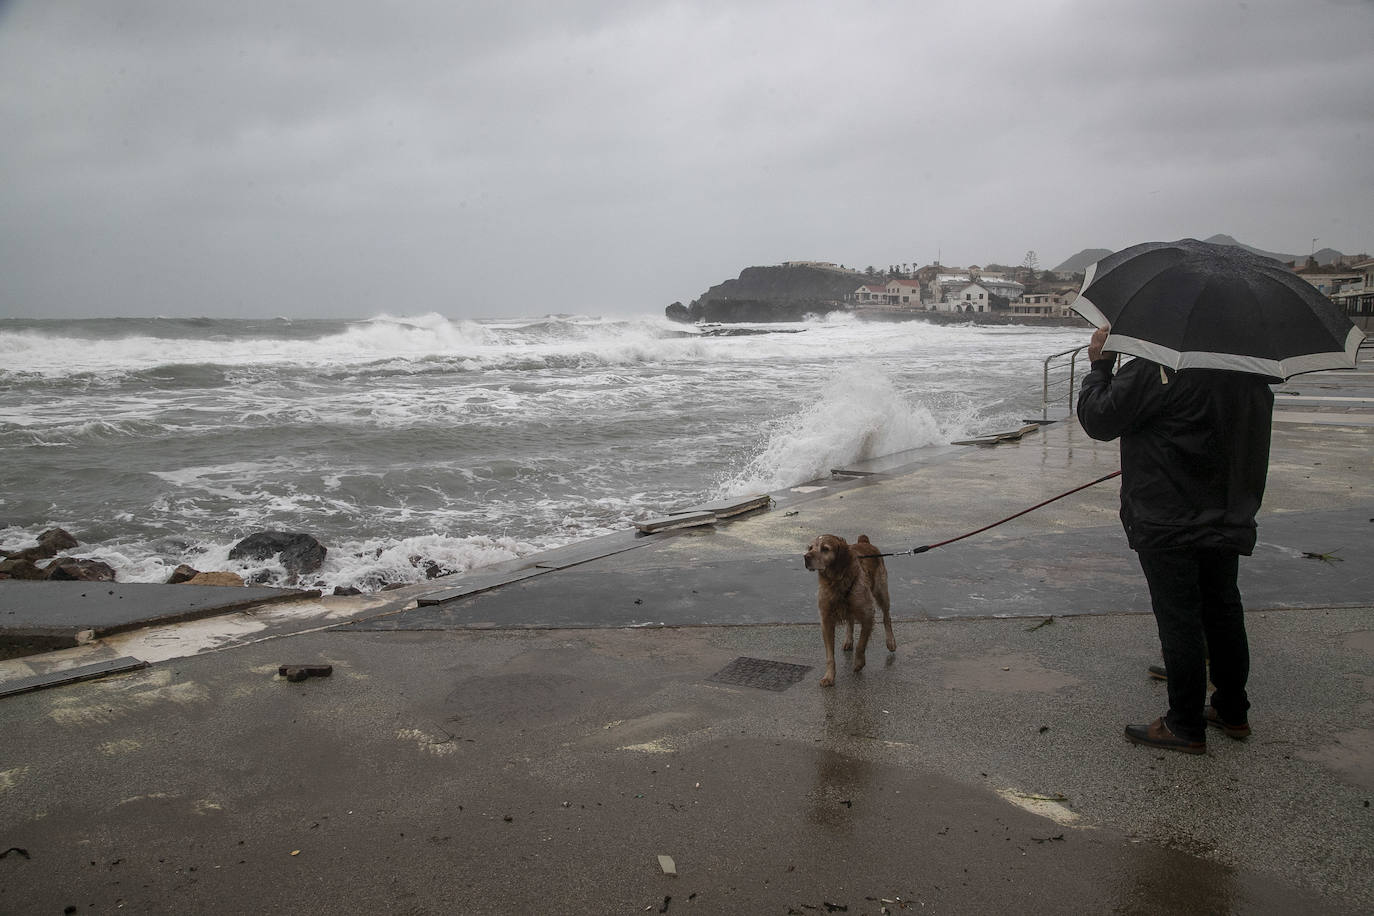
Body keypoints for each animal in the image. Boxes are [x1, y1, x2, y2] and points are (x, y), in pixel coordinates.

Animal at [802, 532, 895, 683]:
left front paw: (858, 663)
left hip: (882, 593)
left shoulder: (868, 615)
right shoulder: (826, 621)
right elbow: (830, 656)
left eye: (825, 549)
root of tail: (864, 541)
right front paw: (829, 676)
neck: (836, 582)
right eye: (810, 548)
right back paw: (848, 640)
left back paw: (891, 641)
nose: (806, 557)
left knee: (887, 617)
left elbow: (861, 644)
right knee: (850, 622)